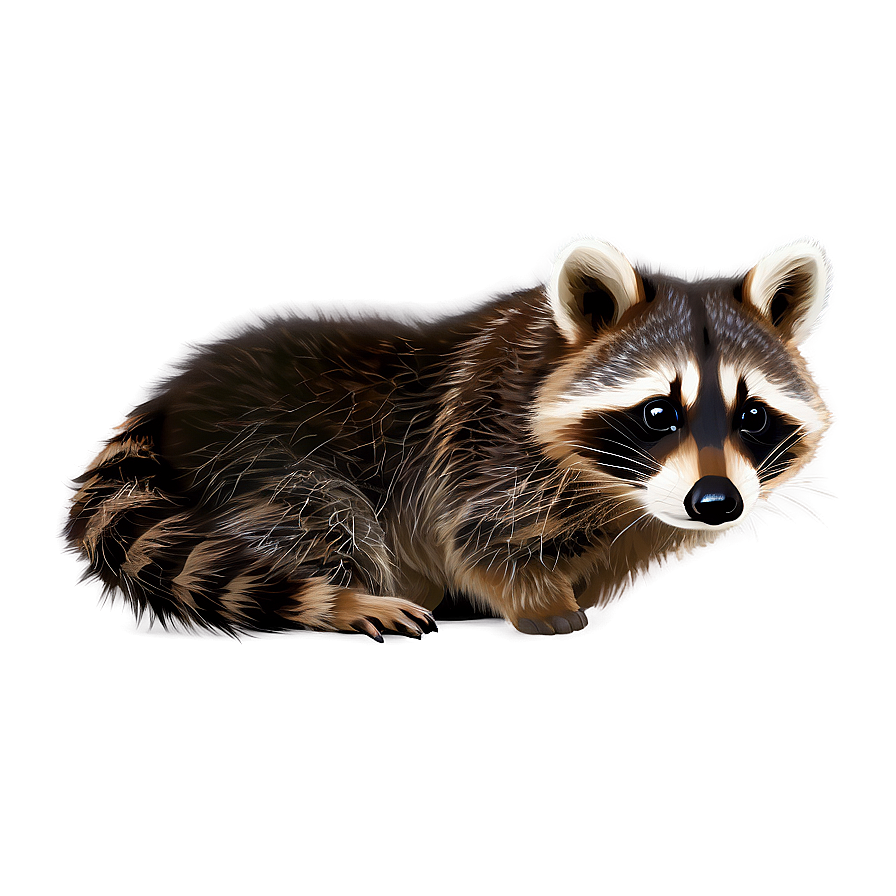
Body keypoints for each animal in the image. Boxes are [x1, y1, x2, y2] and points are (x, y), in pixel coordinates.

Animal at [64, 236, 831, 639]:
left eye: (753, 415)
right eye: (659, 414)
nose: (717, 502)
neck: (620, 490)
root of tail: (170, 398)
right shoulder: (488, 438)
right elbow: (480, 536)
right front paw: (545, 605)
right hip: (254, 447)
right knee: (317, 515)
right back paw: (345, 595)